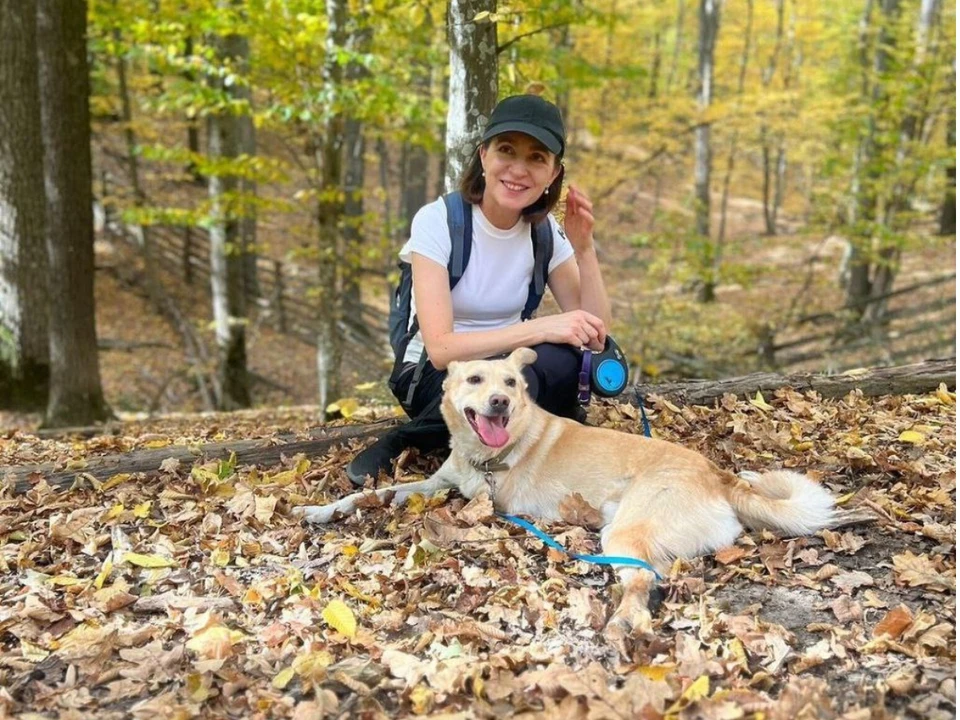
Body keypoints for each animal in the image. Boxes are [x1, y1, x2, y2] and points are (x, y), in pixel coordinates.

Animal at [296, 348, 836, 636]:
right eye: (475, 379)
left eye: (512, 383)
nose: (500, 402)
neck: (484, 455)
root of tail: (718, 474)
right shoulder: (435, 483)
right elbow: (373, 495)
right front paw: (322, 509)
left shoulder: (479, 502)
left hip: (624, 531)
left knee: (644, 582)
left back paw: (621, 623)